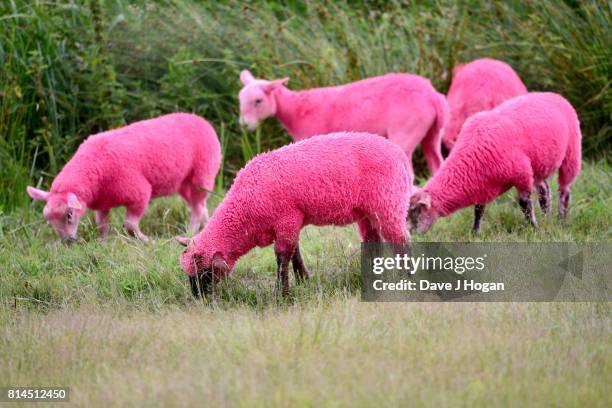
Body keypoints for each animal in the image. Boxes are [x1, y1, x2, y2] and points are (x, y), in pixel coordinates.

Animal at [27, 113, 222, 241]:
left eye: (69, 214)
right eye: (49, 219)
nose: (68, 242)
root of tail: (201, 119)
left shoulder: (139, 193)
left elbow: (130, 226)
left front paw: (146, 241)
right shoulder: (103, 202)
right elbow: (102, 225)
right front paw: (103, 244)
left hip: (202, 175)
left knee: (197, 207)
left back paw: (190, 232)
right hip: (183, 183)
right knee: (200, 204)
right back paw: (206, 226)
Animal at [177, 132, 412, 294]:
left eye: (205, 273)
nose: (198, 298)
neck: (244, 208)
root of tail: (400, 155)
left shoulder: (286, 218)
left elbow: (282, 257)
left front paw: (282, 293)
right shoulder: (291, 221)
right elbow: (295, 252)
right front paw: (303, 279)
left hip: (388, 203)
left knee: (401, 240)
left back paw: (407, 277)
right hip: (367, 212)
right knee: (373, 241)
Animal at [237, 69, 448, 174]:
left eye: (258, 101)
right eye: (240, 100)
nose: (244, 125)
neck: (296, 110)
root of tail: (433, 96)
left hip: (406, 128)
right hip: (432, 131)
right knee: (437, 164)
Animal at [408, 92, 580, 233]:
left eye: (416, 211)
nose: (409, 233)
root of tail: (556, 96)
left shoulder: (522, 174)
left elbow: (525, 204)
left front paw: (533, 228)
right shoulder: (483, 184)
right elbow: (479, 208)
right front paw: (475, 232)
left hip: (571, 155)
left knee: (564, 191)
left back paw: (561, 220)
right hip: (537, 165)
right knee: (544, 190)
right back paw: (546, 218)